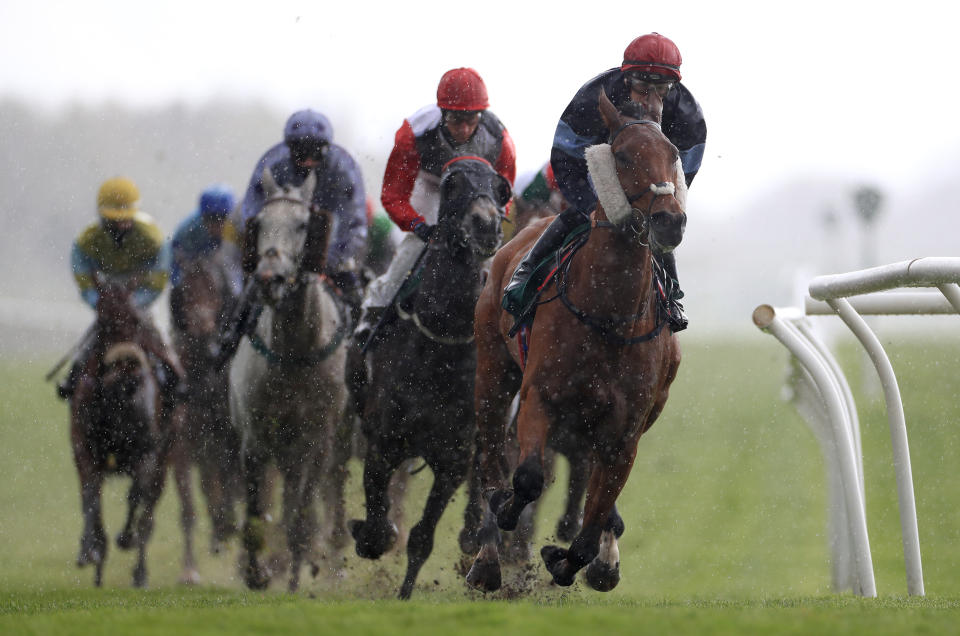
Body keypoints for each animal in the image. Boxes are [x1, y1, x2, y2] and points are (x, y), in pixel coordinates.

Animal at [70, 278, 174, 588]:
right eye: (103, 321)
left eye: (136, 321)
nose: (127, 365)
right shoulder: (84, 447)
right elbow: (91, 495)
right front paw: (90, 550)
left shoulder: (149, 450)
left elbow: (136, 495)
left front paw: (125, 538)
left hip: (166, 458)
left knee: (148, 512)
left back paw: (140, 573)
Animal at [227, 168, 350, 592]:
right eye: (261, 224)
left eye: (302, 224)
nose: (269, 278)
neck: (295, 353)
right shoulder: (254, 437)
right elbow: (253, 511)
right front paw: (256, 573)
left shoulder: (318, 438)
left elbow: (301, 514)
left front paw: (296, 577)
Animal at [344, 157, 510, 600]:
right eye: (452, 185)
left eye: (500, 188)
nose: (487, 224)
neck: (441, 342)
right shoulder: (383, 443)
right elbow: (379, 523)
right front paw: (366, 534)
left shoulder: (452, 459)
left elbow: (421, 537)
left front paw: (404, 594)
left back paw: (474, 534)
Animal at [466, 88, 688, 592]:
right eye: (623, 155)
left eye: (674, 155)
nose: (670, 221)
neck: (609, 315)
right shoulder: (540, 397)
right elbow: (527, 478)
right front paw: (508, 512)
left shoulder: (624, 432)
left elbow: (592, 521)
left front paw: (571, 560)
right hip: (492, 373)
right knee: (491, 460)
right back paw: (488, 555)